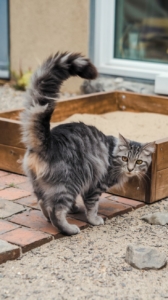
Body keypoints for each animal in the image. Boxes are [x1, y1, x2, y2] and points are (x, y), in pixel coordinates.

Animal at [20, 51, 156, 234]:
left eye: (139, 161)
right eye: (125, 159)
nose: (130, 169)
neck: (112, 156)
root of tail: (49, 140)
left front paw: (75, 209)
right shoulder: (95, 187)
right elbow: (92, 207)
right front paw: (94, 220)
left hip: (41, 185)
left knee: (43, 203)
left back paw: (51, 219)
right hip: (70, 184)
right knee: (56, 210)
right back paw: (69, 229)